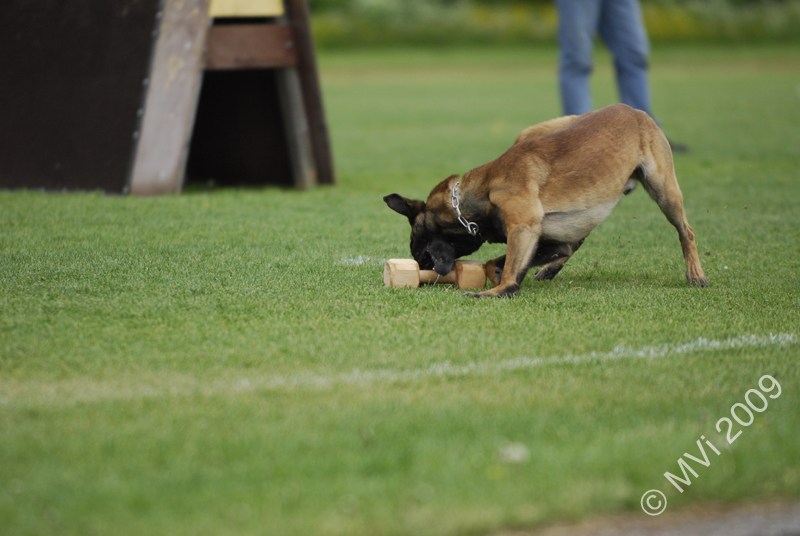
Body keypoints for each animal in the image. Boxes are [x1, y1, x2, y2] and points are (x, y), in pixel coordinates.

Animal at [384, 104, 708, 298]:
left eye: (418, 245)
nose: (422, 266)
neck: (476, 196)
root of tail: (633, 109)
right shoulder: (546, 237)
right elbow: (499, 262)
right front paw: (511, 275)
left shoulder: (523, 227)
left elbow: (506, 267)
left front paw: (498, 290)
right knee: (576, 243)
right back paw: (550, 269)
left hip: (663, 189)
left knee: (687, 231)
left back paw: (695, 273)